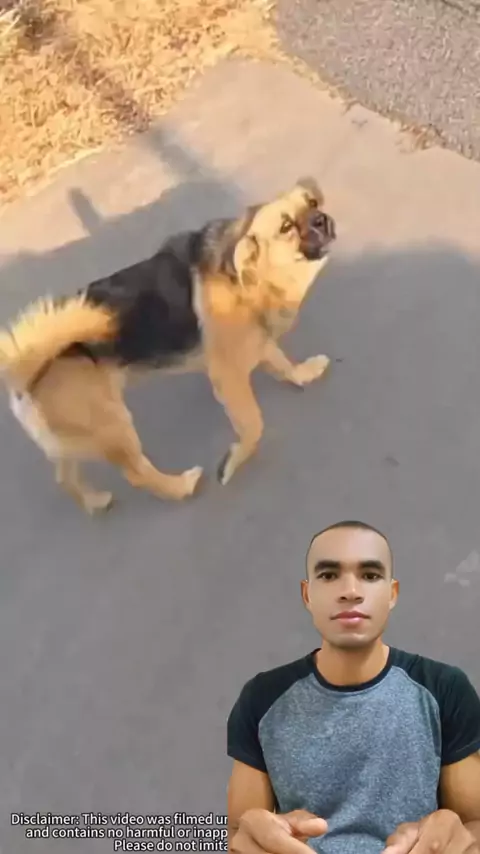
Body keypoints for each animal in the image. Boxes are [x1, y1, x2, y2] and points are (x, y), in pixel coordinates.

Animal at [0, 177, 336, 515]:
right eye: (286, 226)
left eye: (312, 204)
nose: (322, 219)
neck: (249, 276)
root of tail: (26, 373)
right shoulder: (229, 377)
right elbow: (254, 425)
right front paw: (234, 460)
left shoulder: (257, 342)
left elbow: (282, 364)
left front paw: (303, 374)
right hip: (114, 425)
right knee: (137, 474)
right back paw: (180, 486)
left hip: (78, 437)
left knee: (64, 477)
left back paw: (95, 502)